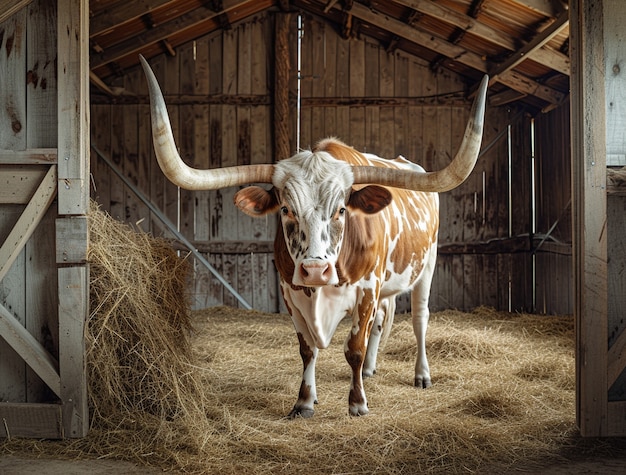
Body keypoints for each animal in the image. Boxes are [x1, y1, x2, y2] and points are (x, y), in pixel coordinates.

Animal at [139, 55, 486, 418]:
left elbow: (354, 347)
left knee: (419, 318)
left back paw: (421, 374)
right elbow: (308, 349)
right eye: (285, 209)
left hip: (427, 266)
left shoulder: (367, 290)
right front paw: (305, 401)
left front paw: (357, 403)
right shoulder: (291, 293)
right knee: (382, 319)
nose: (315, 270)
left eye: (342, 210)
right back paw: (371, 369)